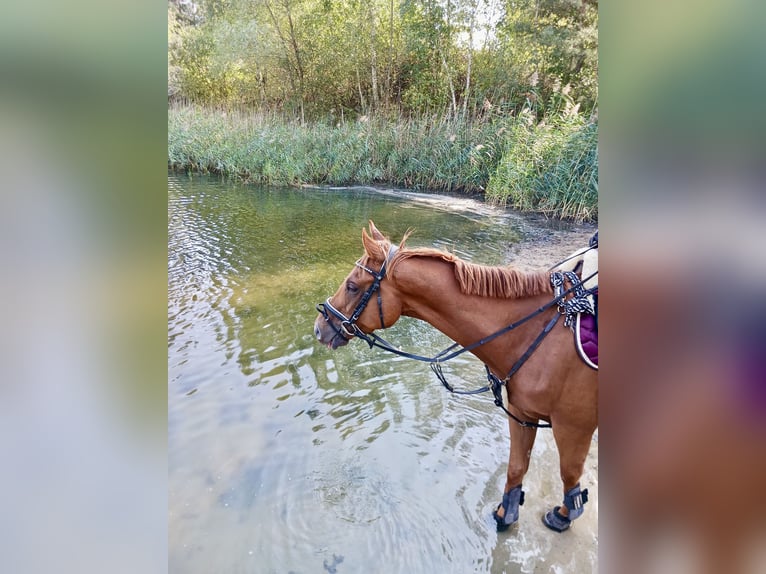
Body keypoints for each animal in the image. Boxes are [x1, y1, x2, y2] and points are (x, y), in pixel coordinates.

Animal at [313, 221, 598, 532]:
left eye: (352, 286)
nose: (319, 327)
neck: (537, 333)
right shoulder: (523, 413)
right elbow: (516, 468)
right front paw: (505, 514)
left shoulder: (573, 427)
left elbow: (569, 474)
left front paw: (564, 515)